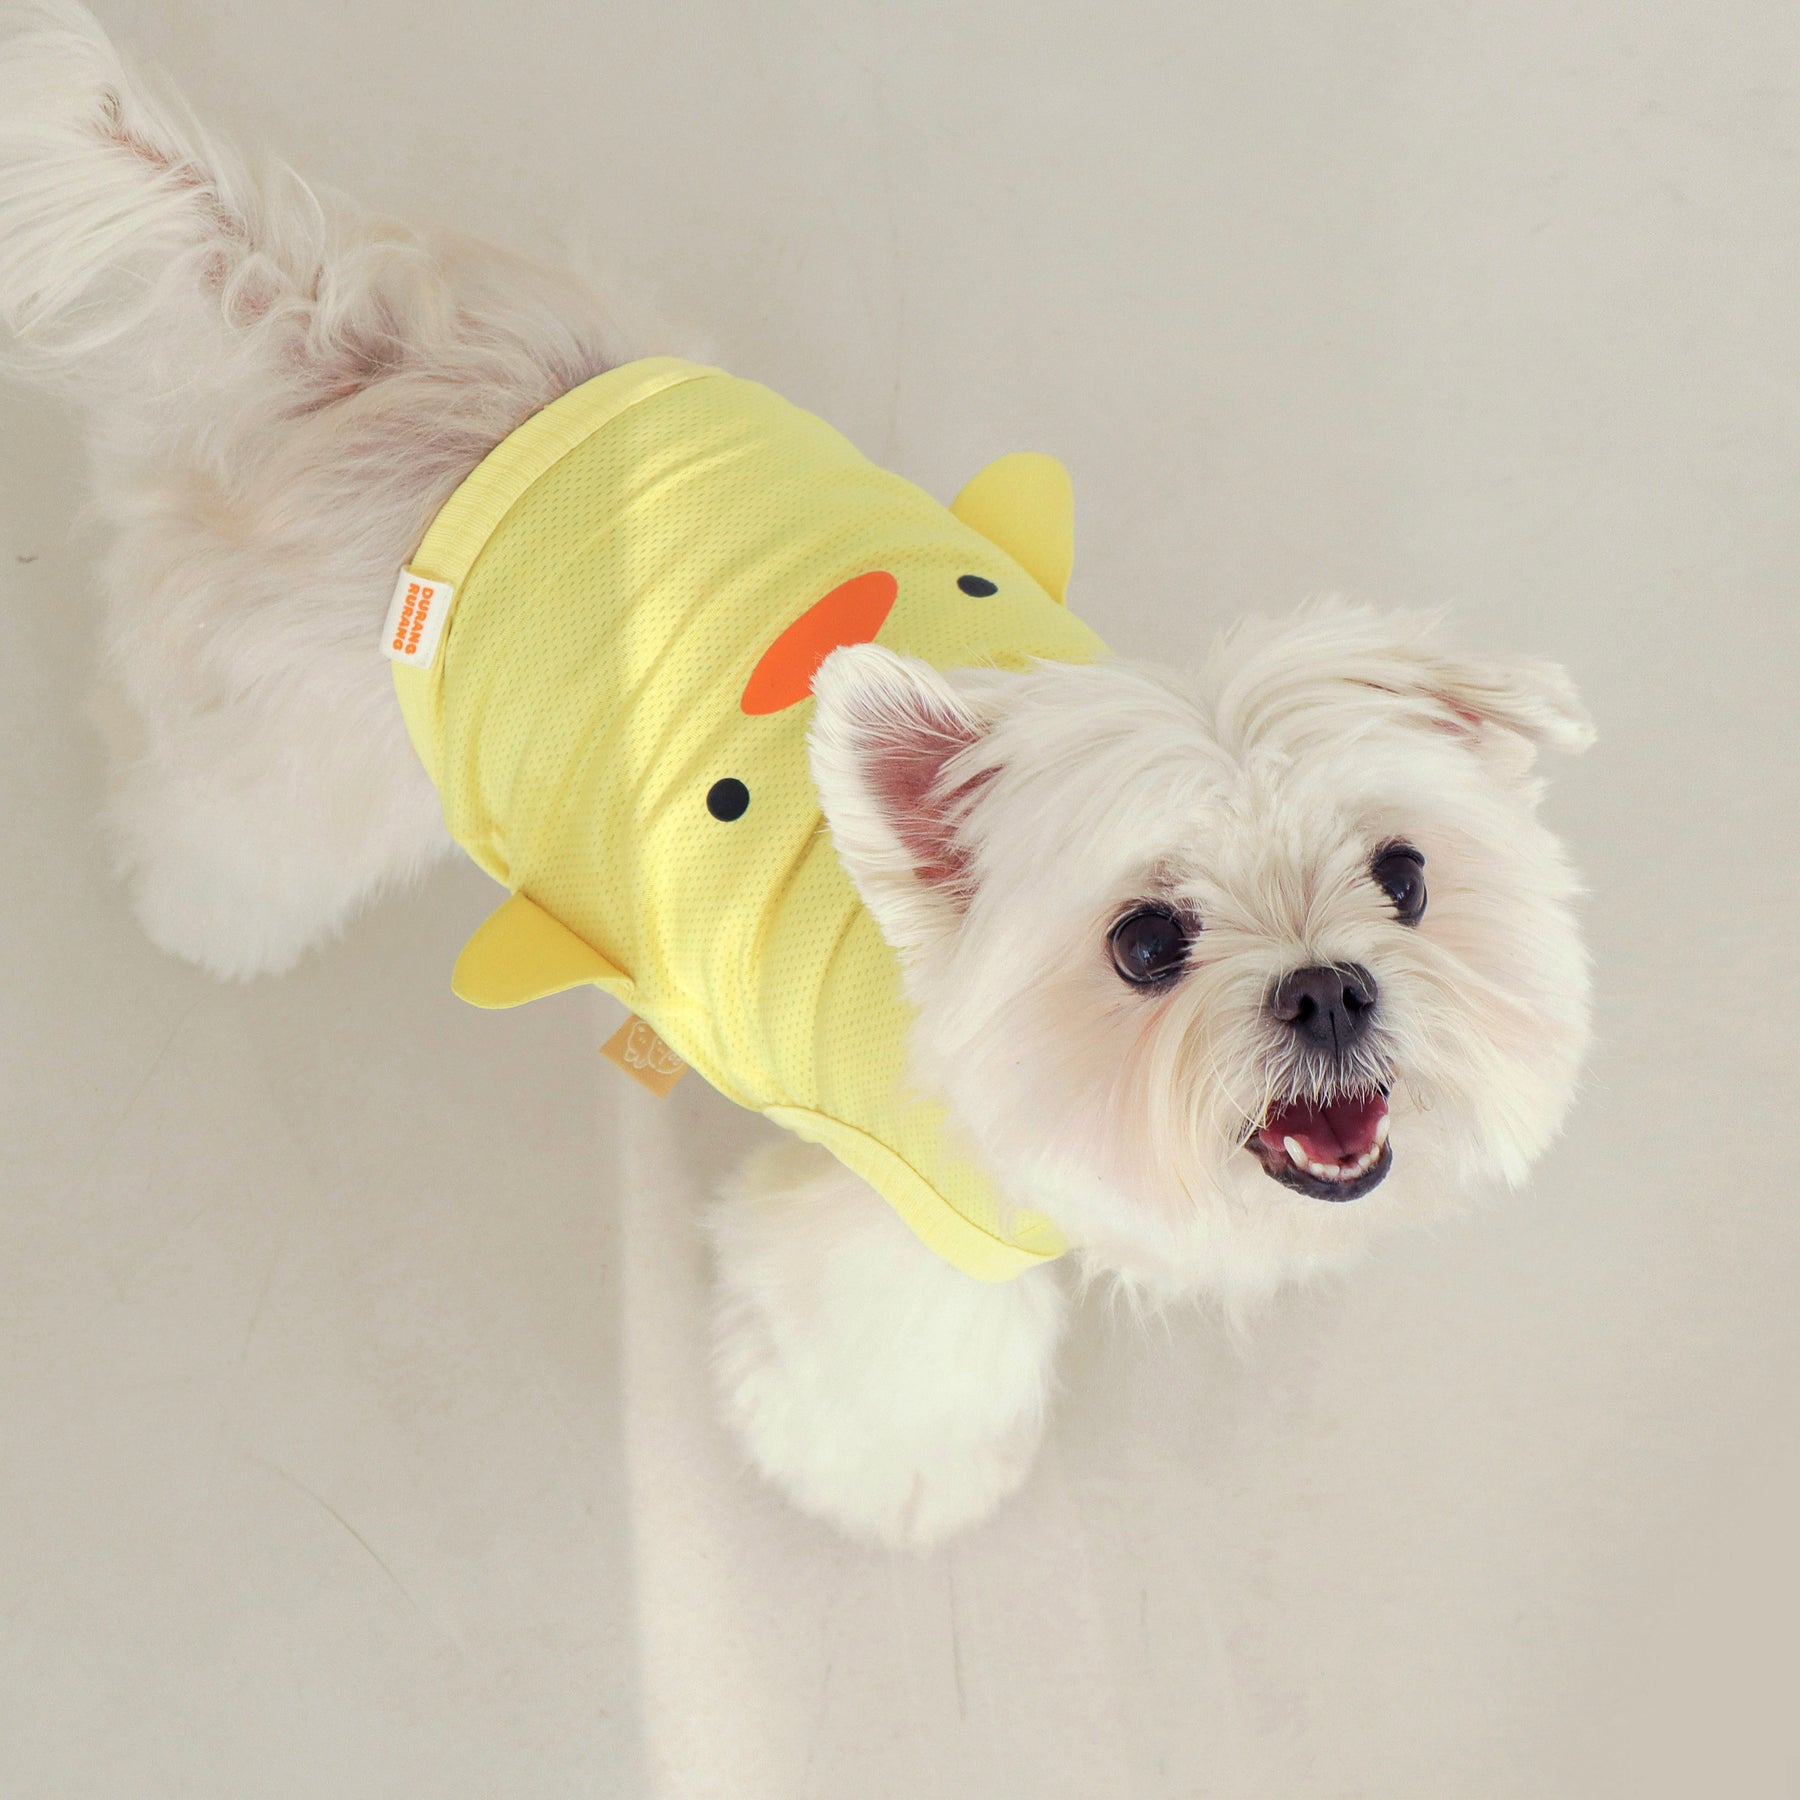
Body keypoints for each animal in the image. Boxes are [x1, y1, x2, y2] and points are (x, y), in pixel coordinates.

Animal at [0, 1, 1593, 1547]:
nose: (1328, 990)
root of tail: (343, 319)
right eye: (1145, 944)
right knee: (215, 823)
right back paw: (202, 920)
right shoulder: (904, 1226)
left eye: (1406, 876)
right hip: (300, 758)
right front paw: (904, 1487)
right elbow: (901, 1369)